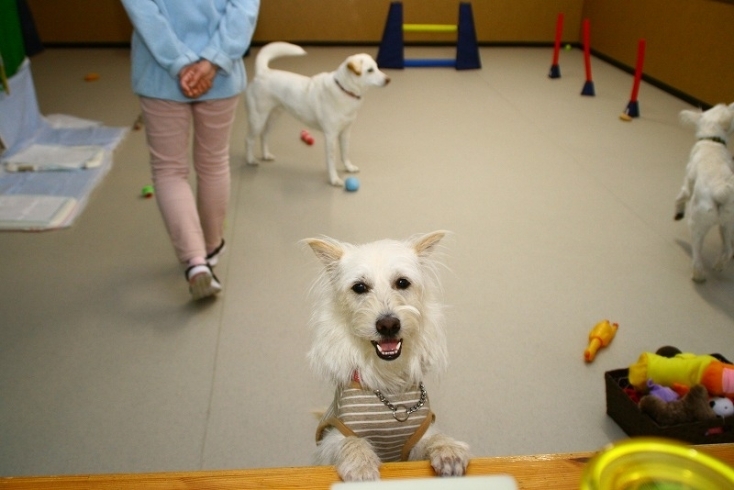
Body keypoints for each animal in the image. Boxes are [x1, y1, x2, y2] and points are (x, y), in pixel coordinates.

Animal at [247, 42, 394, 187]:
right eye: (370, 70)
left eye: (377, 67)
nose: (388, 79)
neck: (344, 89)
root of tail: (263, 72)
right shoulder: (330, 136)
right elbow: (331, 160)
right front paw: (334, 179)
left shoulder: (346, 132)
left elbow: (345, 153)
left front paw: (349, 167)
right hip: (257, 119)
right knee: (249, 140)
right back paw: (250, 160)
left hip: (273, 117)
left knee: (264, 135)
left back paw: (266, 155)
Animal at [304, 232, 472, 480]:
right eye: (359, 287)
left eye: (402, 282)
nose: (388, 325)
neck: (387, 384)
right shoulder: (330, 439)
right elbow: (351, 441)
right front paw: (361, 465)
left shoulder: (416, 441)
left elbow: (435, 437)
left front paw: (449, 449)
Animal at [676, 101, 734, 282]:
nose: (732, 104)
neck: (712, 141)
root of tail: (721, 190)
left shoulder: (687, 185)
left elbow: (679, 198)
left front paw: (678, 212)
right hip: (727, 224)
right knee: (728, 251)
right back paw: (719, 266)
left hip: (697, 221)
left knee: (697, 255)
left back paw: (698, 275)